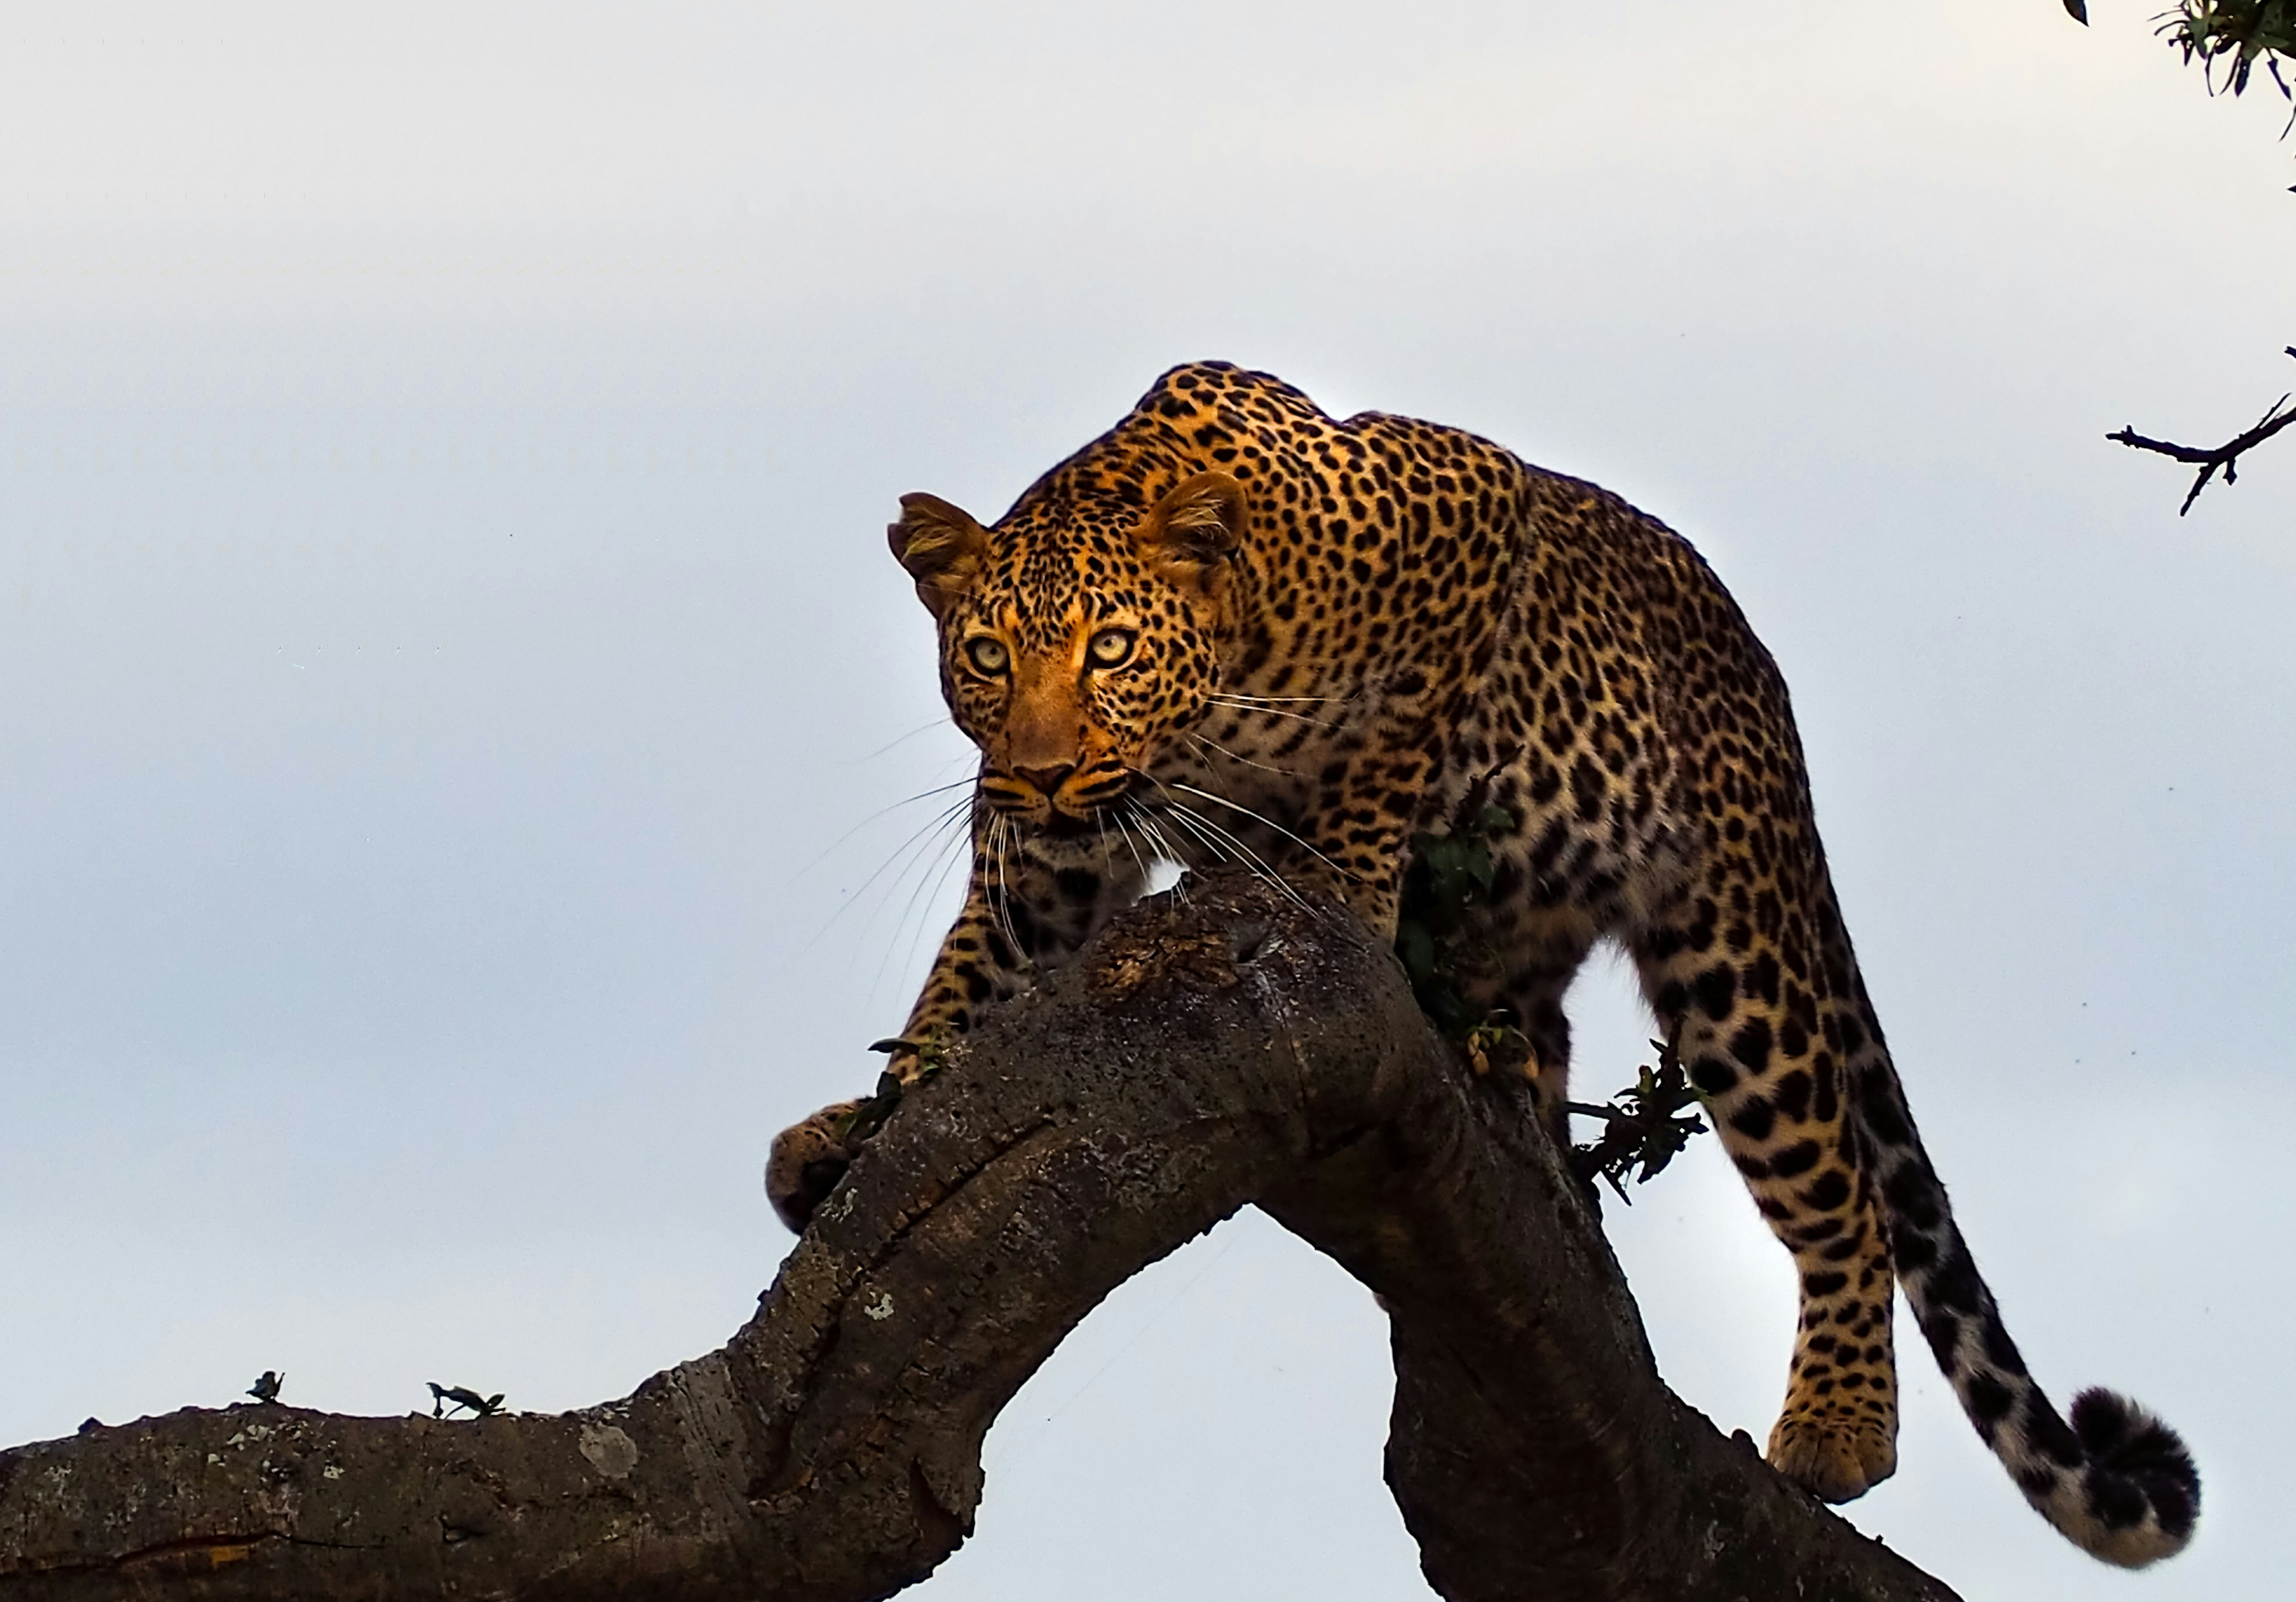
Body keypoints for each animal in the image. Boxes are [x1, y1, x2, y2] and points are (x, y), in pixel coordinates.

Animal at [766, 360, 2200, 1566]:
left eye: (1109, 649)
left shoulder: (1469, 513)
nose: (1045, 769)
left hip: (1733, 945)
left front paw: (1339, 877)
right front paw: (868, 1123)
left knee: (1839, 1179)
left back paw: (1837, 1429)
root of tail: (1762, 677)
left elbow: (1385, 743)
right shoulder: (1046, 866)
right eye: (986, 657)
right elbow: (969, 982)